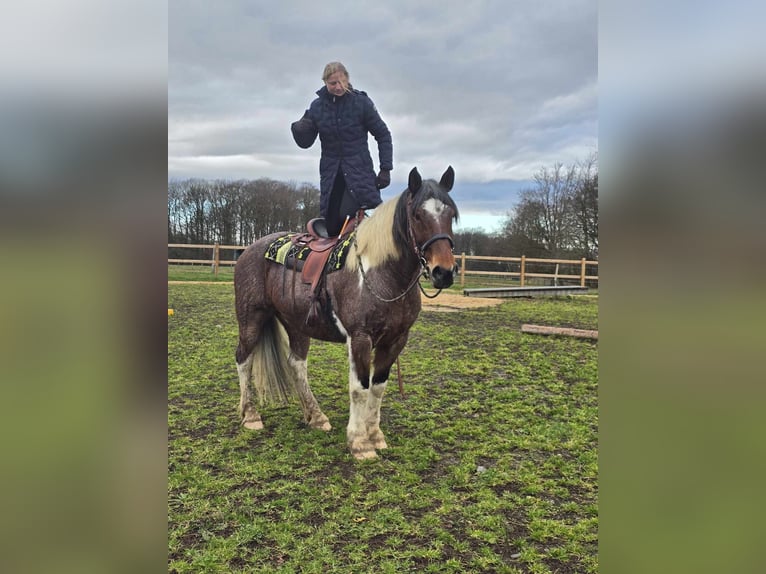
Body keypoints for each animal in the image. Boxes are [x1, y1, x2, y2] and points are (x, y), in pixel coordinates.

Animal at [234, 165, 460, 460]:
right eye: (417, 215)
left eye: (451, 215)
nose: (443, 272)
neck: (382, 274)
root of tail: (249, 249)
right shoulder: (360, 338)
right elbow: (359, 388)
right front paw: (359, 442)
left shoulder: (396, 340)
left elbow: (378, 387)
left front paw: (375, 435)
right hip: (251, 318)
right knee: (244, 359)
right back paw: (250, 415)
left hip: (296, 323)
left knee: (297, 364)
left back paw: (316, 416)